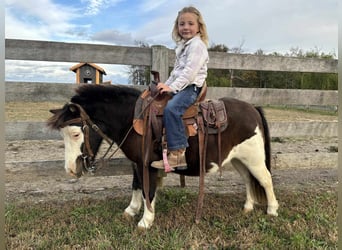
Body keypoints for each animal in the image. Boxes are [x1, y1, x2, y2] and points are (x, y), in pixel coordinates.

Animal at [47, 83, 278, 229]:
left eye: (76, 133)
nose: (71, 169)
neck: (132, 119)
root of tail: (253, 109)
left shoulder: (147, 165)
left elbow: (147, 191)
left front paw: (145, 221)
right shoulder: (137, 164)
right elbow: (136, 186)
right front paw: (131, 211)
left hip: (254, 159)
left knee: (265, 179)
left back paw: (272, 210)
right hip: (239, 159)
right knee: (248, 179)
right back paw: (248, 207)